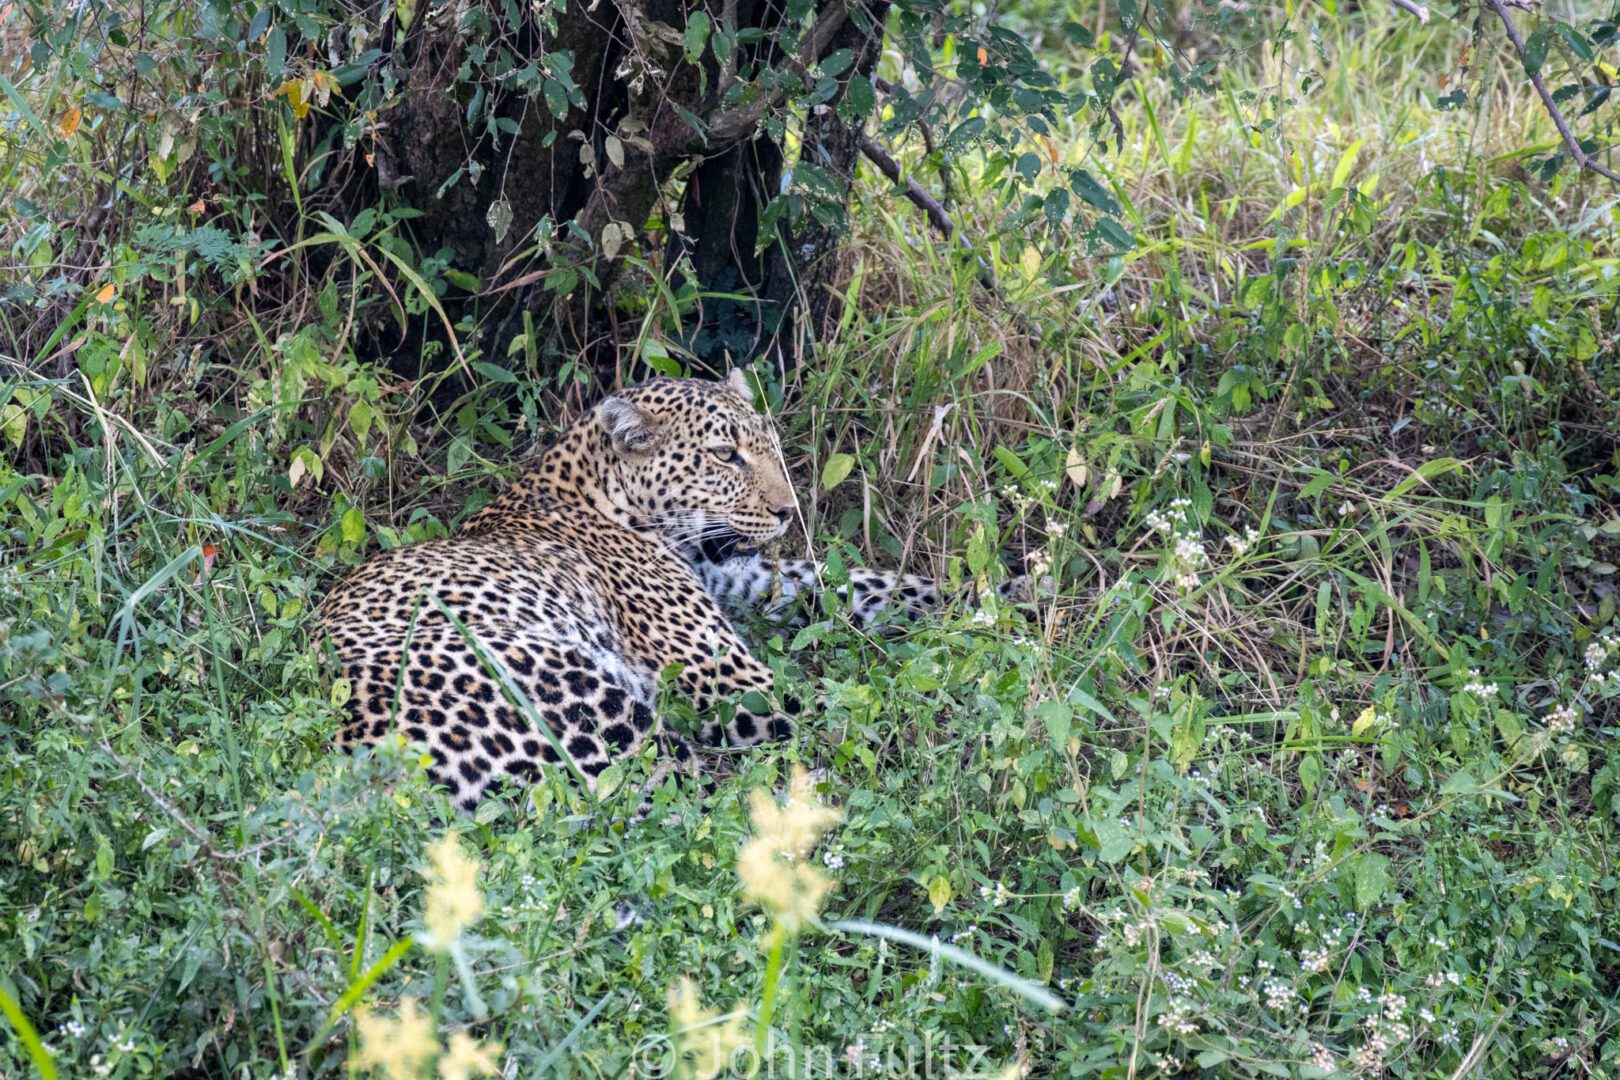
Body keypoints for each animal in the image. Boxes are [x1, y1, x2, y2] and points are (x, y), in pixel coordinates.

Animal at [317, 367, 991, 806]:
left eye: (769, 445)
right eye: (725, 455)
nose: (787, 511)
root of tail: (350, 754)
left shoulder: (749, 581)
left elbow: (865, 586)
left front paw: (989, 604)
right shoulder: (723, 675)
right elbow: (849, 710)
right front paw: (949, 732)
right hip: (567, 693)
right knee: (709, 802)